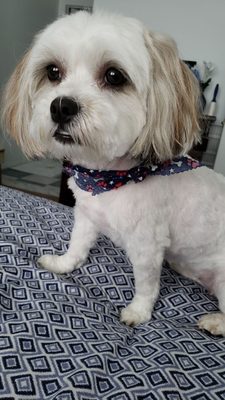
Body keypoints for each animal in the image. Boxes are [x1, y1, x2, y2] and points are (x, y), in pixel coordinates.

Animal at [1, 10, 225, 334]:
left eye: (114, 76)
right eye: (53, 71)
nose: (61, 106)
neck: (108, 179)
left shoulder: (147, 245)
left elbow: (146, 284)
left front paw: (138, 312)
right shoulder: (86, 215)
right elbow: (77, 245)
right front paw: (63, 264)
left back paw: (215, 321)